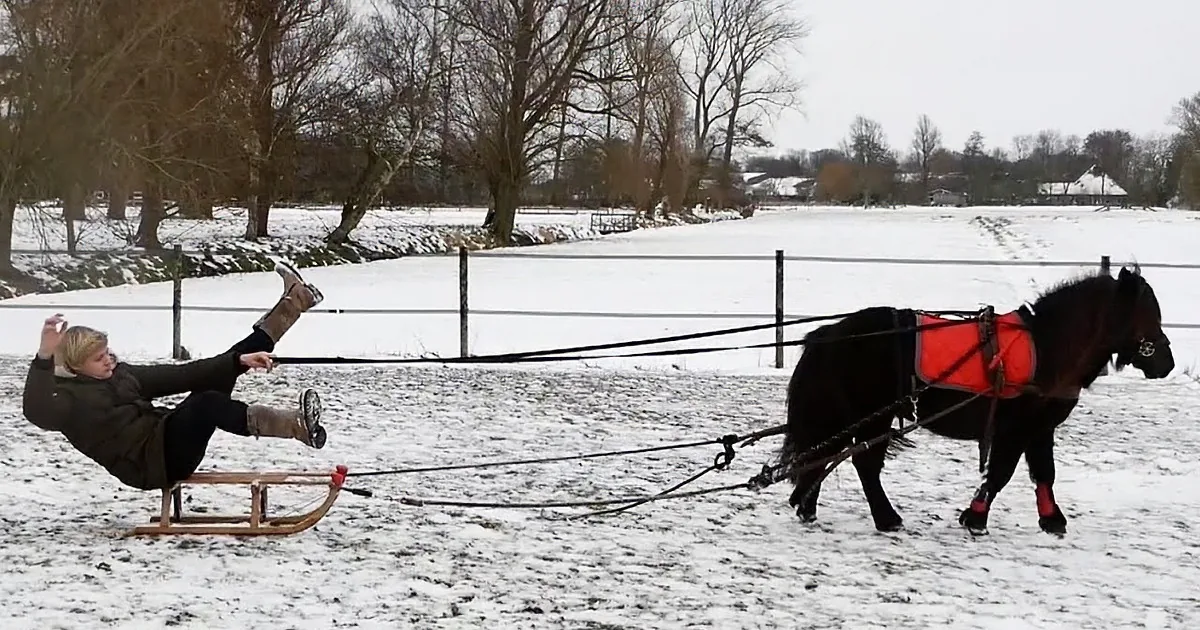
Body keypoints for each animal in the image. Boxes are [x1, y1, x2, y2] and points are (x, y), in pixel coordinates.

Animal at [778, 265, 1174, 536]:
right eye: (1146, 315)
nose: (1166, 364)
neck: (1047, 348)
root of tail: (831, 334)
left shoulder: (1039, 429)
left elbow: (1044, 473)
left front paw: (1052, 519)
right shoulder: (1015, 428)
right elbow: (1000, 472)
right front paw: (975, 517)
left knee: (828, 455)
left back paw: (808, 505)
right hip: (872, 417)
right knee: (863, 464)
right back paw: (886, 518)